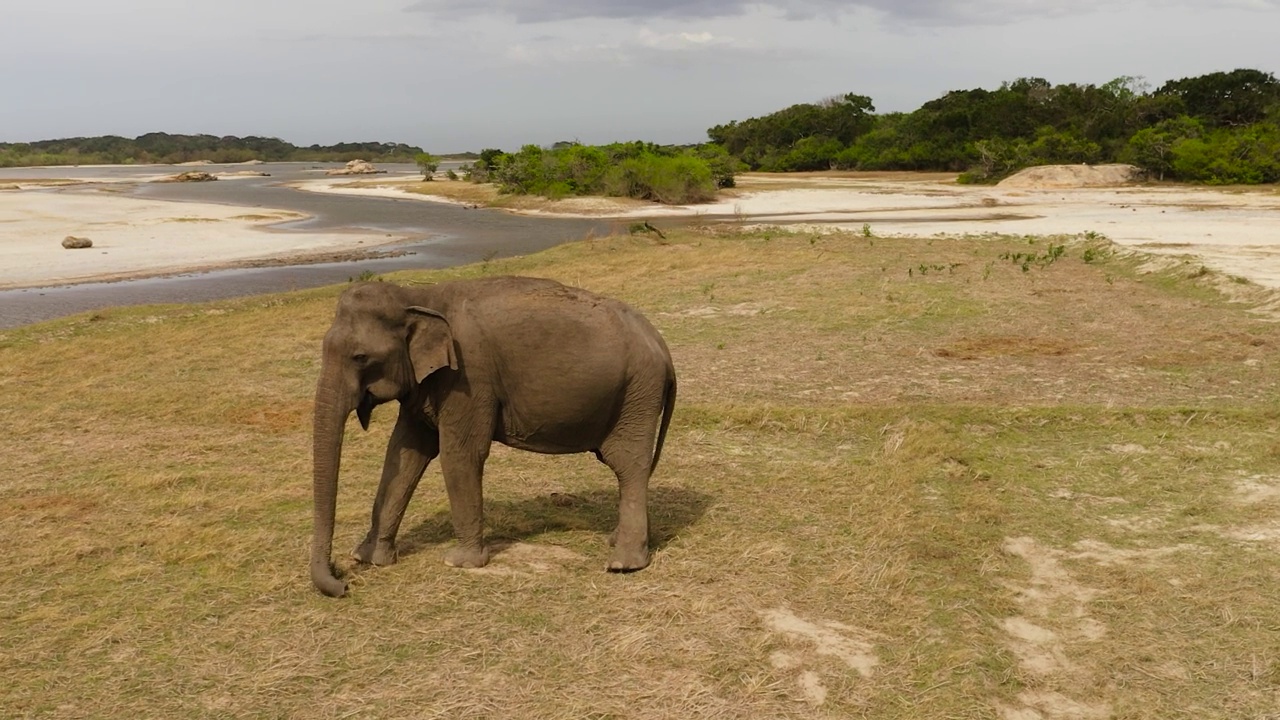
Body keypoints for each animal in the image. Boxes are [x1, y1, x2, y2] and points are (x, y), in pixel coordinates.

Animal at [307, 274, 680, 594]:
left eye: (360, 357)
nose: (344, 584)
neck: (417, 295)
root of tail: (662, 345)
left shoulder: (467, 378)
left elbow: (460, 455)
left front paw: (460, 563)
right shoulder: (426, 384)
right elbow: (406, 452)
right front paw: (369, 557)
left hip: (637, 394)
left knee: (628, 466)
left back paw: (623, 564)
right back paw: (618, 542)